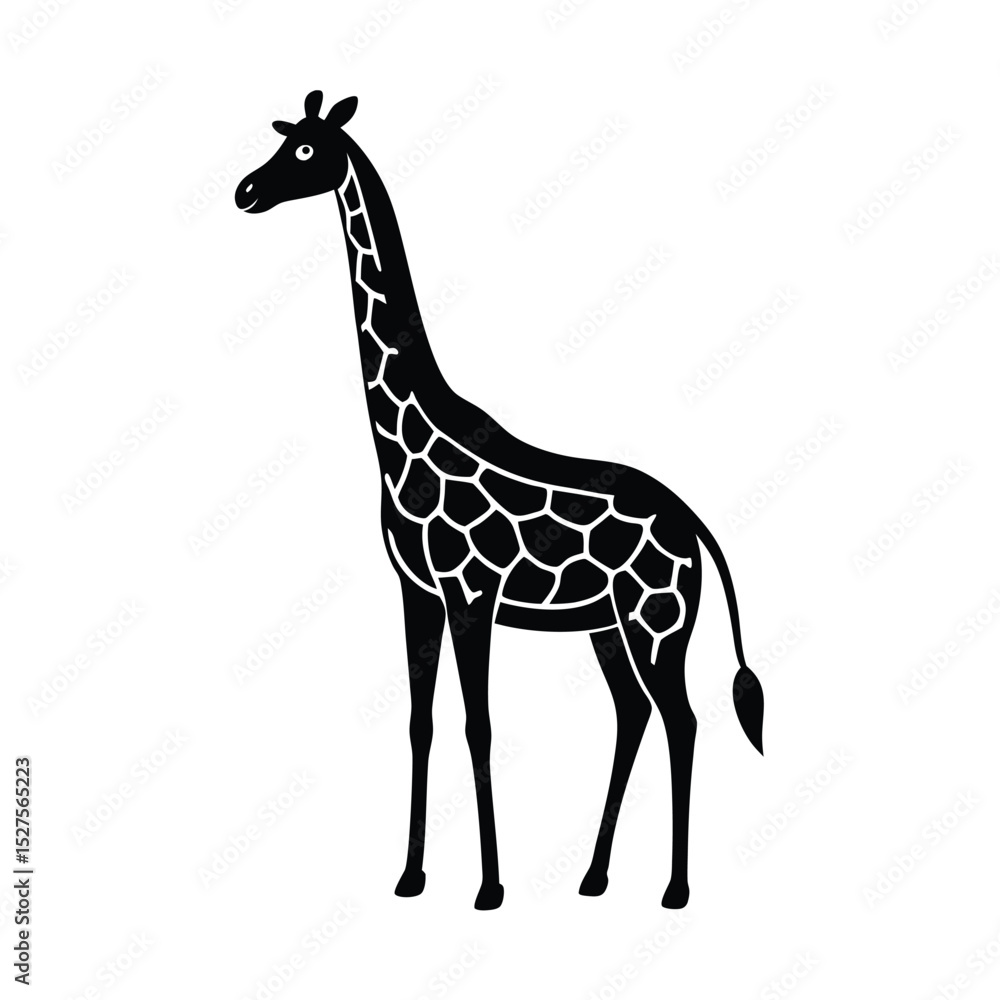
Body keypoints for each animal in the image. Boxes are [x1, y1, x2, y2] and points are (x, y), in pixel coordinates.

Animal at [236, 91, 764, 911]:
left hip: (659, 624)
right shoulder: (416, 591)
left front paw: (488, 887)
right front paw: (411, 876)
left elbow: (478, 725)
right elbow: (420, 722)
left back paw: (674, 890)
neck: (406, 437)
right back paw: (592, 877)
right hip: (608, 627)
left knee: (682, 720)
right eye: (282, 142)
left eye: (305, 152)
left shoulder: (470, 594)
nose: (246, 191)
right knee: (634, 714)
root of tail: (696, 526)